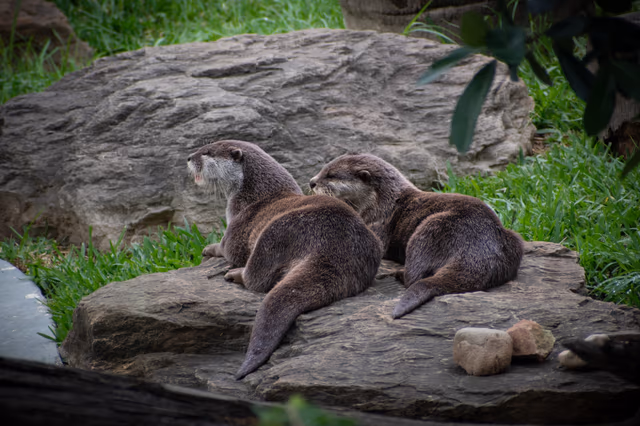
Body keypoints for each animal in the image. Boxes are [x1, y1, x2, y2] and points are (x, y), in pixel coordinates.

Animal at [187, 141, 382, 379]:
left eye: (207, 152)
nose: (189, 158)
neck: (256, 196)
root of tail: (337, 247)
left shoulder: (238, 225)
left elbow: (227, 249)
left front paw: (208, 248)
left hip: (275, 231)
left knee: (257, 279)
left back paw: (235, 275)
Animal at [310, 154, 523, 319]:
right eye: (322, 170)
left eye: (330, 175)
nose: (311, 182)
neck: (380, 203)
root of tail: (480, 251)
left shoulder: (378, 224)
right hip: (514, 239)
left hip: (430, 228)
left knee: (414, 277)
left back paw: (398, 274)